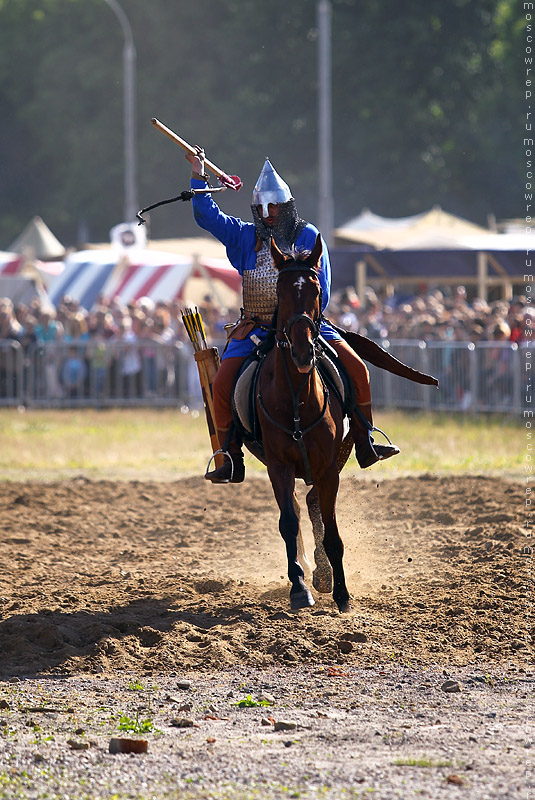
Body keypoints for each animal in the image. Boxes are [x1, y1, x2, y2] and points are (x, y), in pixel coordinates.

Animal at [253, 236, 354, 612]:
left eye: (315, 290)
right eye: (280, 291)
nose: (301, 351)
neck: (297, 396)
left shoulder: (328, 469)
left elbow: (331, 532)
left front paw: (341, 593)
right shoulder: (278, 466)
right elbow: (288, 523)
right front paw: (298, 587)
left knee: (313, 507)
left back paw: (323, 573)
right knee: (297, 510)